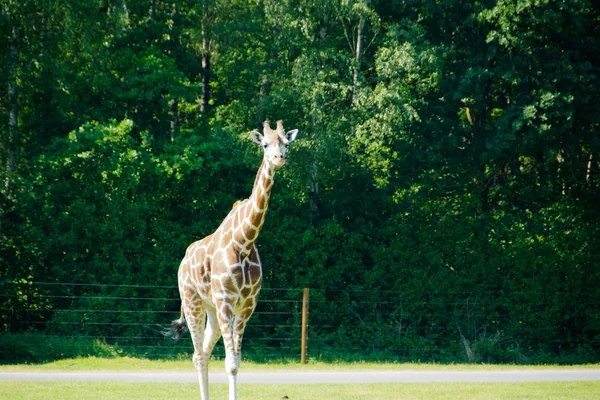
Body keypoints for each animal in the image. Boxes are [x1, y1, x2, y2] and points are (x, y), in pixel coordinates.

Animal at [168, 120, 298, 398]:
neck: (244, 241)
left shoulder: (246, 305)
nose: (279, 158)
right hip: (193, 301)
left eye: (286, 142)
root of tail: (183, 261)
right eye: (265, 144)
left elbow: (236, 363)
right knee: (198, 355)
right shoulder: (227, 301)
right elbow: (230, 364)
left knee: (203, 353)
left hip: (211, 308)